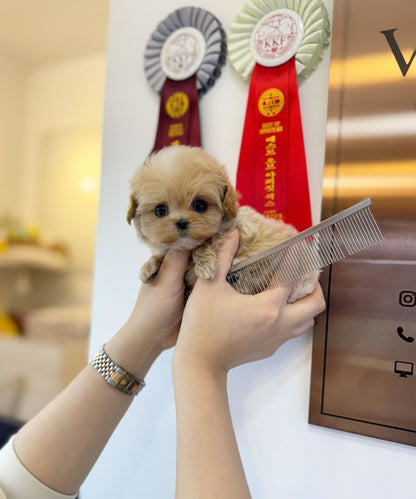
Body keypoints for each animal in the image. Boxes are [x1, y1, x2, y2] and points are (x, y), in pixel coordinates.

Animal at [128, 146, 316, 302]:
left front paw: (204, 266)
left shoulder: (237, 230)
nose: (181, 222)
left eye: (201, 205)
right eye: (160, 210)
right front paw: (148, 267)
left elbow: (208, 242)